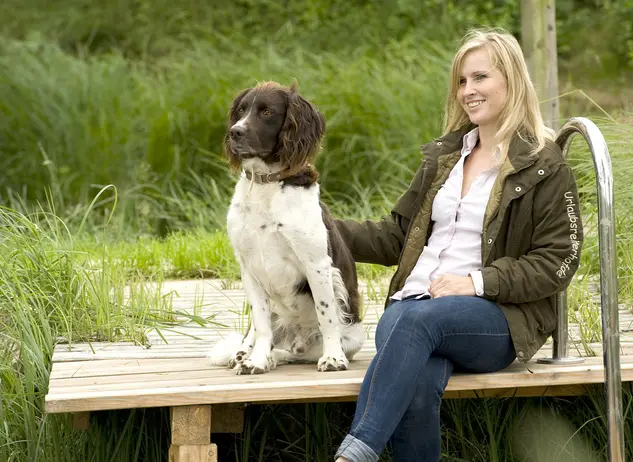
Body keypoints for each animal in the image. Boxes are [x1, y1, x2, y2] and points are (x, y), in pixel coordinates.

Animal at [207, 81, 362, 374]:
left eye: (267, 111)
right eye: (241, 110)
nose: (235, 132)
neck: (266, 185)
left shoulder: (317, 264)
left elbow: (327, 315)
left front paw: (333, 358)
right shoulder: (248, 269)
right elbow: (261, 325)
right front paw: (255, 360)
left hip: (351, 338)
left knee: (298, 352)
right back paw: (245, 355)